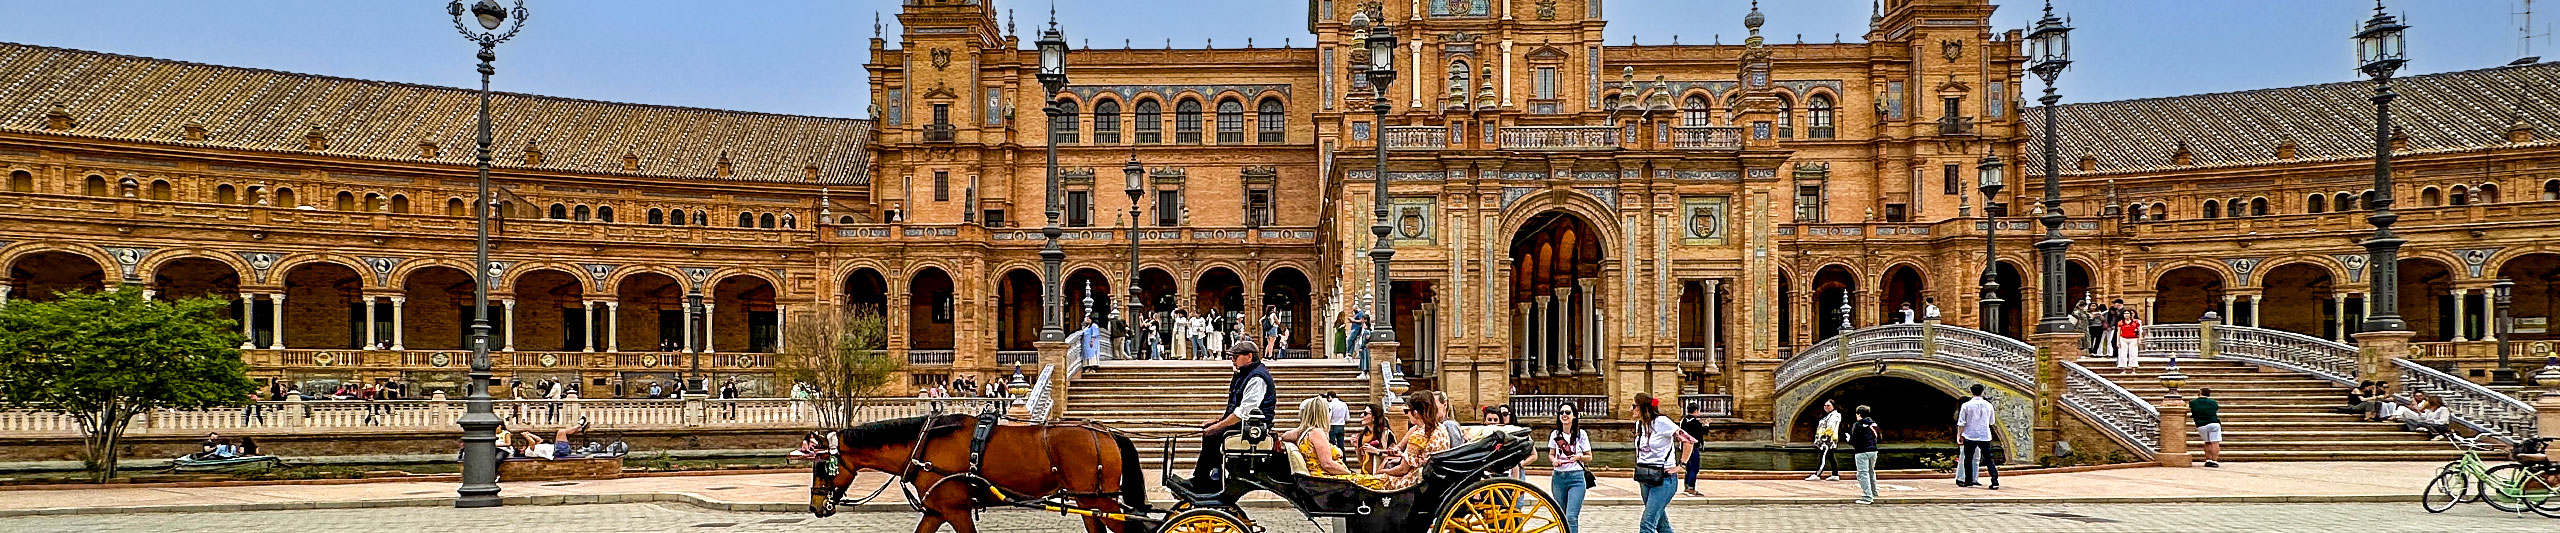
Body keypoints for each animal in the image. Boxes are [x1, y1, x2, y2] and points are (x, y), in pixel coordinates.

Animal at [808, 415, 1152, 533]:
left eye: (822, 466)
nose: (815, 506)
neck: (923, 444)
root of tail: (1106, 431)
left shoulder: (956, 511)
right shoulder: (937, 511)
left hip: (1101, 501)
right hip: (1088, 502)